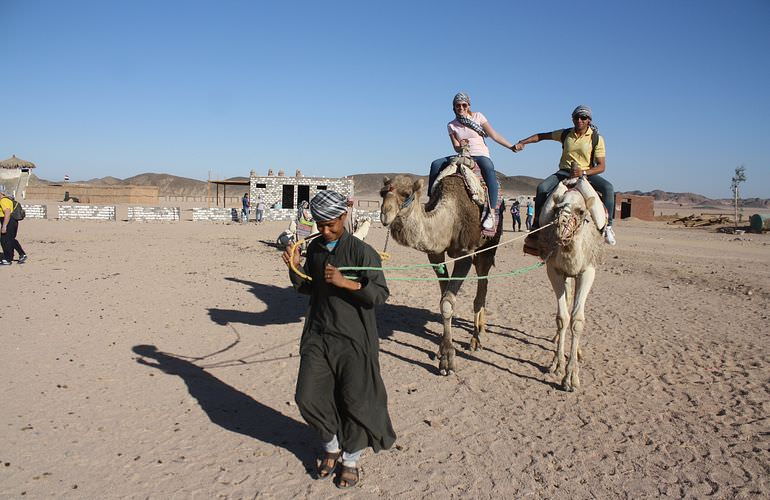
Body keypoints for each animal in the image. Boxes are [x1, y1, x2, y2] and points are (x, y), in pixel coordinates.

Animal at [376, 173, 498, 376]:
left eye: (406, 193)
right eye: (382, 193)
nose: (385, 215)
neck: (450, 219)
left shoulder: (465, 253)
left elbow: (447, 302)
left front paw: (448, 360)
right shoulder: (435, 254)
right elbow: (443, 296)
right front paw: (443, 347)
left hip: (488, 246)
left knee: (482, 286)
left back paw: (476, 338)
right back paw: (482, 327)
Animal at [532, 178, 604, 392]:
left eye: (580, 212)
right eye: (556, 209)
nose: (559, 230)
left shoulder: (587, 271)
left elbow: (577, 320)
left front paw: (571, 378)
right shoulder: (554, 270)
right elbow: (562, 318)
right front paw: (557, 365)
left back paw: (578, 351)